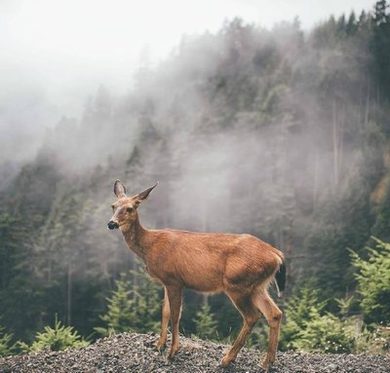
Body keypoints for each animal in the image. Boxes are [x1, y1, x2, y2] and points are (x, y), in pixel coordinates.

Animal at [108, 179, 284, 370]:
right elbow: (165, 312)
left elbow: (175, 315)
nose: (111, 223)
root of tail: (276, 254)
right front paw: (159, 345)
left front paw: (172, 352)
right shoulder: (166, 281)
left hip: (237, 283)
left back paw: (227, 359)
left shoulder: (174, 280)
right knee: (274, 313)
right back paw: (267, 362)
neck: (149, 247)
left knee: (252, 316)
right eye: (113, 206)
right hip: (257, 286)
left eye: (130, 208)